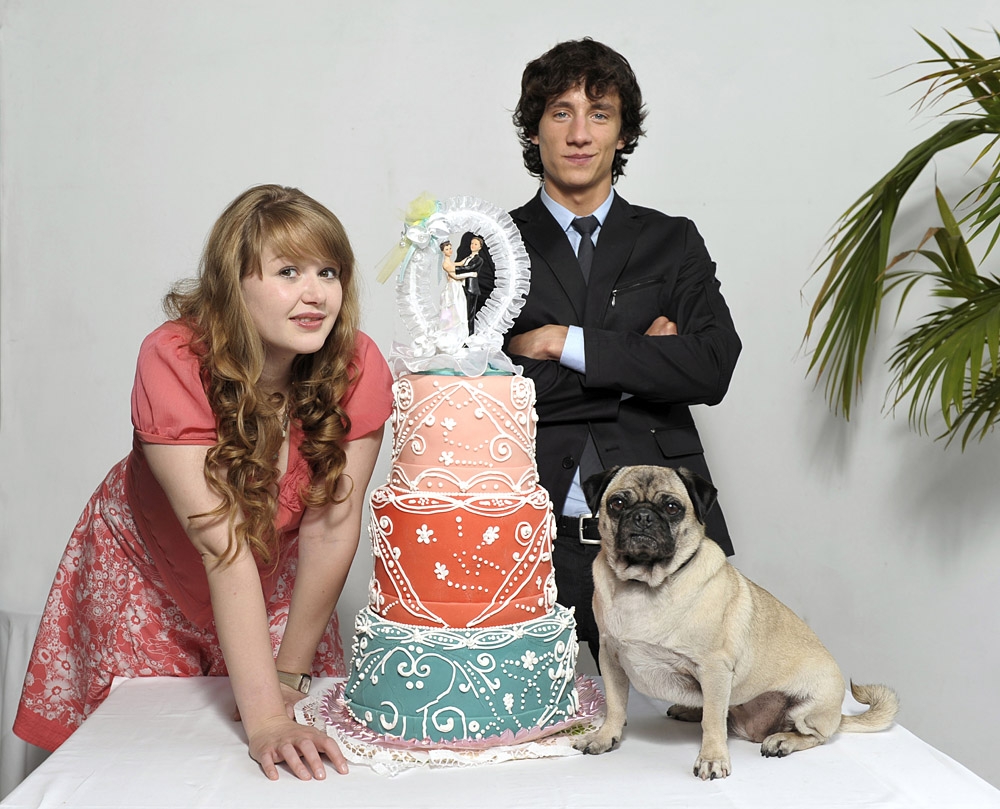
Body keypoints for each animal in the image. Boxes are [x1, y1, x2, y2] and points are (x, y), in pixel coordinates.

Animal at [574, 465, 899, 780]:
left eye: (671, 507)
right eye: (617, 503)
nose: (642, 516)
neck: (643, 586)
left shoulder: (714, 669)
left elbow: (712, 723)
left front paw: (712, 759)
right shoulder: (610, 657)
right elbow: (616, 705)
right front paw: (604, 737)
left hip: (809, 707)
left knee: (811, 735)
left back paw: (783, 740)